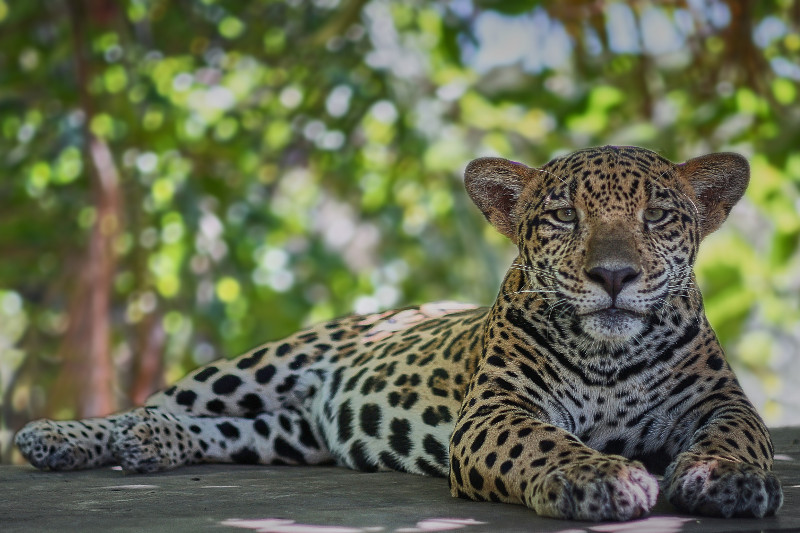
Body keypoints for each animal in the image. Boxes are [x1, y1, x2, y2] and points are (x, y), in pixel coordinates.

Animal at [15, 146, 783, 522]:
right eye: (564, 216)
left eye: (658, 217)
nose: (614, 275)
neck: (609, 355)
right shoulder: (496, 411)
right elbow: (546, 441)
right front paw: (599, 477)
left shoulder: (719, 401)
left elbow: (738, 434)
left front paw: (730, 480)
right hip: (259, 364)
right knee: (154, 402)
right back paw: (65, 438)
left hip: (288, 434)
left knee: (219, 430)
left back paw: (151, 446)